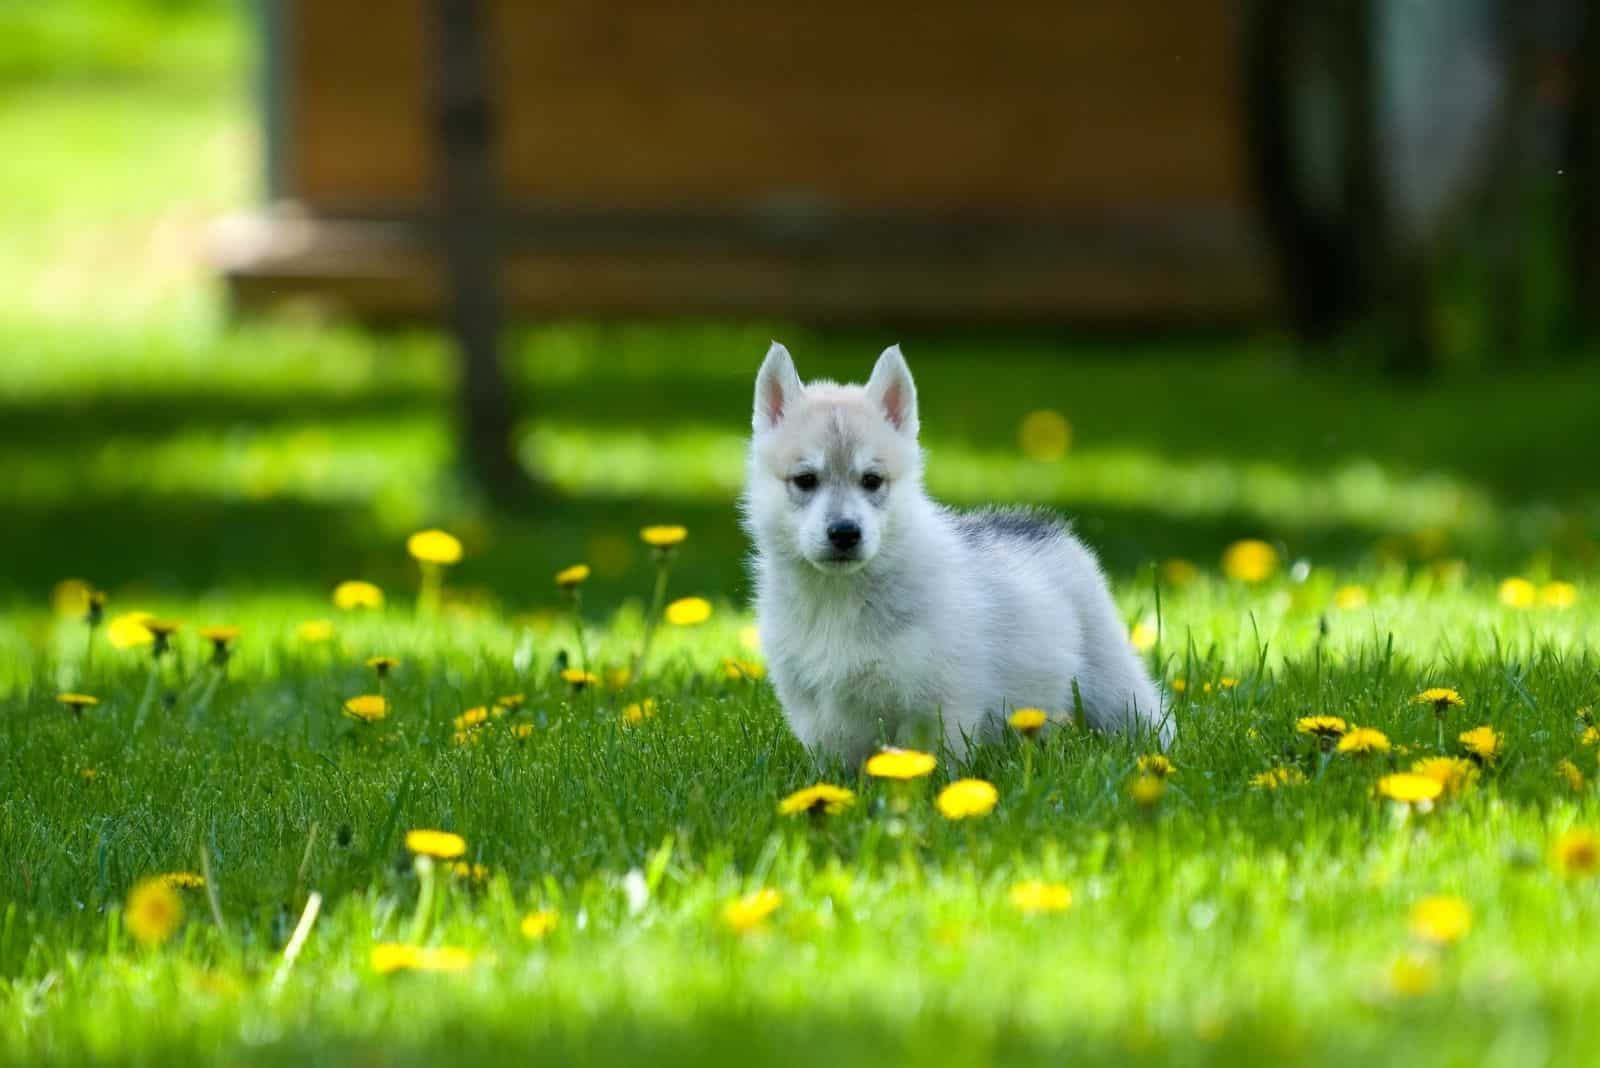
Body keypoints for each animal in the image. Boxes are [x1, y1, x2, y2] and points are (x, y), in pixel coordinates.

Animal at [742, 342, 1171, 767]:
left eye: (872, 480)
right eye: (805, 480)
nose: (845, 533)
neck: (839, 596)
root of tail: (1041, 527)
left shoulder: (938, 704)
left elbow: (933, 764)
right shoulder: (815, 709)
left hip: (1112, 681)